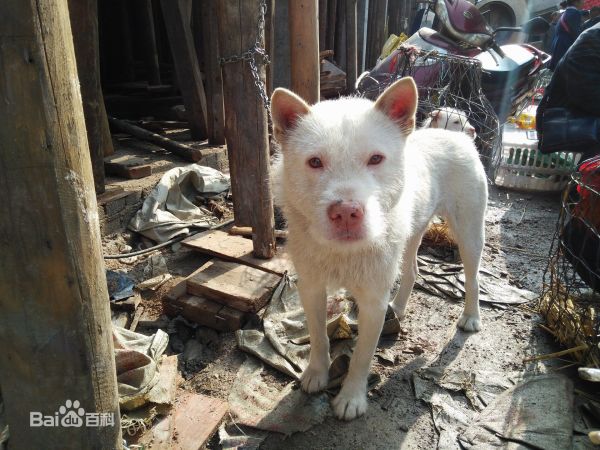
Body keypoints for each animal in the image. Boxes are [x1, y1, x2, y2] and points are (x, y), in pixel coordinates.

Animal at [272, 78, 488, 422]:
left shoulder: (372, 300)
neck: (344, 251)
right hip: (413, 231)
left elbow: (362, 355)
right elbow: (318, 336)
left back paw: (470, 316)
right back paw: (397, 307)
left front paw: (351, 397)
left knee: (473, 276)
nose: (346, 212)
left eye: (375, 159)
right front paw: (317, 373)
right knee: (411, 270)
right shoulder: (311, 288)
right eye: (315, 162)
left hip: (468, 232)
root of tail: (456, 134)